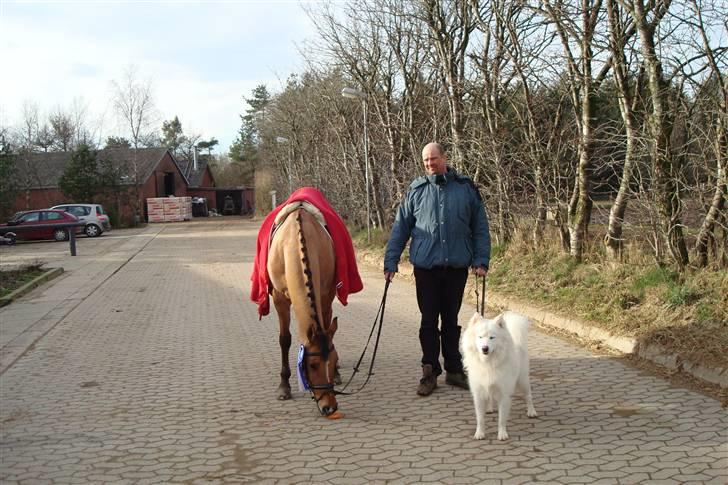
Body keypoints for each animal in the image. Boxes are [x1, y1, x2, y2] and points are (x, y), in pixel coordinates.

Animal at [266, 202, 340, 414]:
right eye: (313, 365)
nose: (329, 406)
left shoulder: (324, 295)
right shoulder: (279, 299)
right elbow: (285, 339)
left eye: (333, 360)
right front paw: (284, 386)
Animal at [464, 312, 536, 440]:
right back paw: (489, 408)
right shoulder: (478, 393)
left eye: (492, 337)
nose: (485, 348)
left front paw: (502, 434)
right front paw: (479, 433)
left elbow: (501, 419)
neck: (488, 363)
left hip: (522, 380)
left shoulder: (504, 394)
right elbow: (480, 419)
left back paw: (531, 412)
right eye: (480, 337)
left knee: (528, 396)